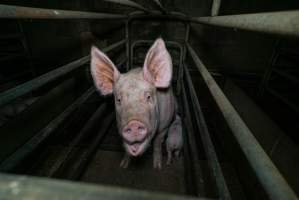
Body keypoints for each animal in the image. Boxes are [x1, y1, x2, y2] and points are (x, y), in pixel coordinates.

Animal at [90, 38, 183, 169]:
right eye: (119, 99)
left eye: (148, 97)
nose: (133, 123)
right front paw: (123, 165)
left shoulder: (164, 126)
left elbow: (157, 143)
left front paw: (157, 167)